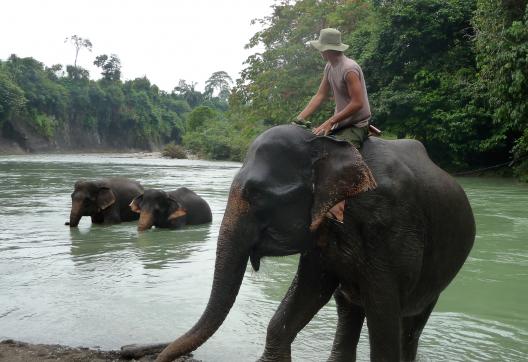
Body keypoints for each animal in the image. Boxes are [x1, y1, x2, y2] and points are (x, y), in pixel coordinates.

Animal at [122, 124, 474, 362]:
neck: (328, 145)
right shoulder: (323, 233)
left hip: (438, 274)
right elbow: (306, 292)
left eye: (255, 194)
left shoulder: (389, 226)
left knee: (409, 324)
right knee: (349, 309)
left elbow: (384, 315)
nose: (157, 355)